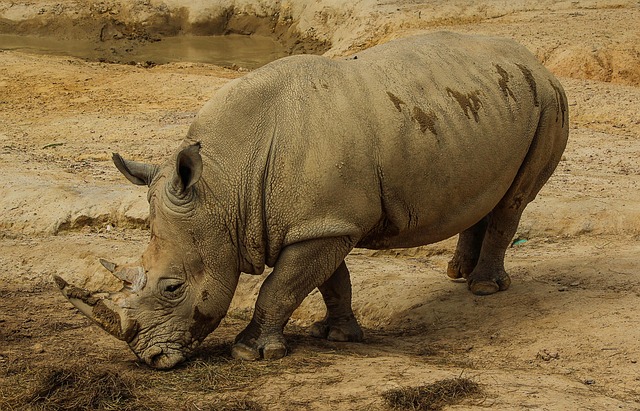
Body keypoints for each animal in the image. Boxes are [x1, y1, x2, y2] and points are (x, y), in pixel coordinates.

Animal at [55, 32, 568, 369]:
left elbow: (279, 287)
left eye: (172, 288)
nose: (150, 358)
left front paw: (251, 352)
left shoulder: (326, 223)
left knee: (514, 201)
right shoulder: (323, 222)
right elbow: (328, 281)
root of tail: (538, 63)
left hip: (547, 103)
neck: (224, 185)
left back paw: (483, 288)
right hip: (487, 104)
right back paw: (456, 274)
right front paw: (338, 334)